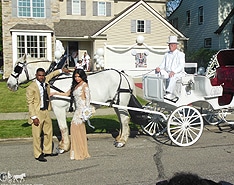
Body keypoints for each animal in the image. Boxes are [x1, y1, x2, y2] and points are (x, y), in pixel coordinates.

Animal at [7, 55, 136, 150]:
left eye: (17, 68)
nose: (9, 84)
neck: (53, 79)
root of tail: (125, 75)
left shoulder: (59, 109)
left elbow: (63, 127)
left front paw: (64, 147)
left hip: (121, 104)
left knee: (124, 119)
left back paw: (122, 141)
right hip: (116, 104)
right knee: (121, 120)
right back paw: (119, 138)